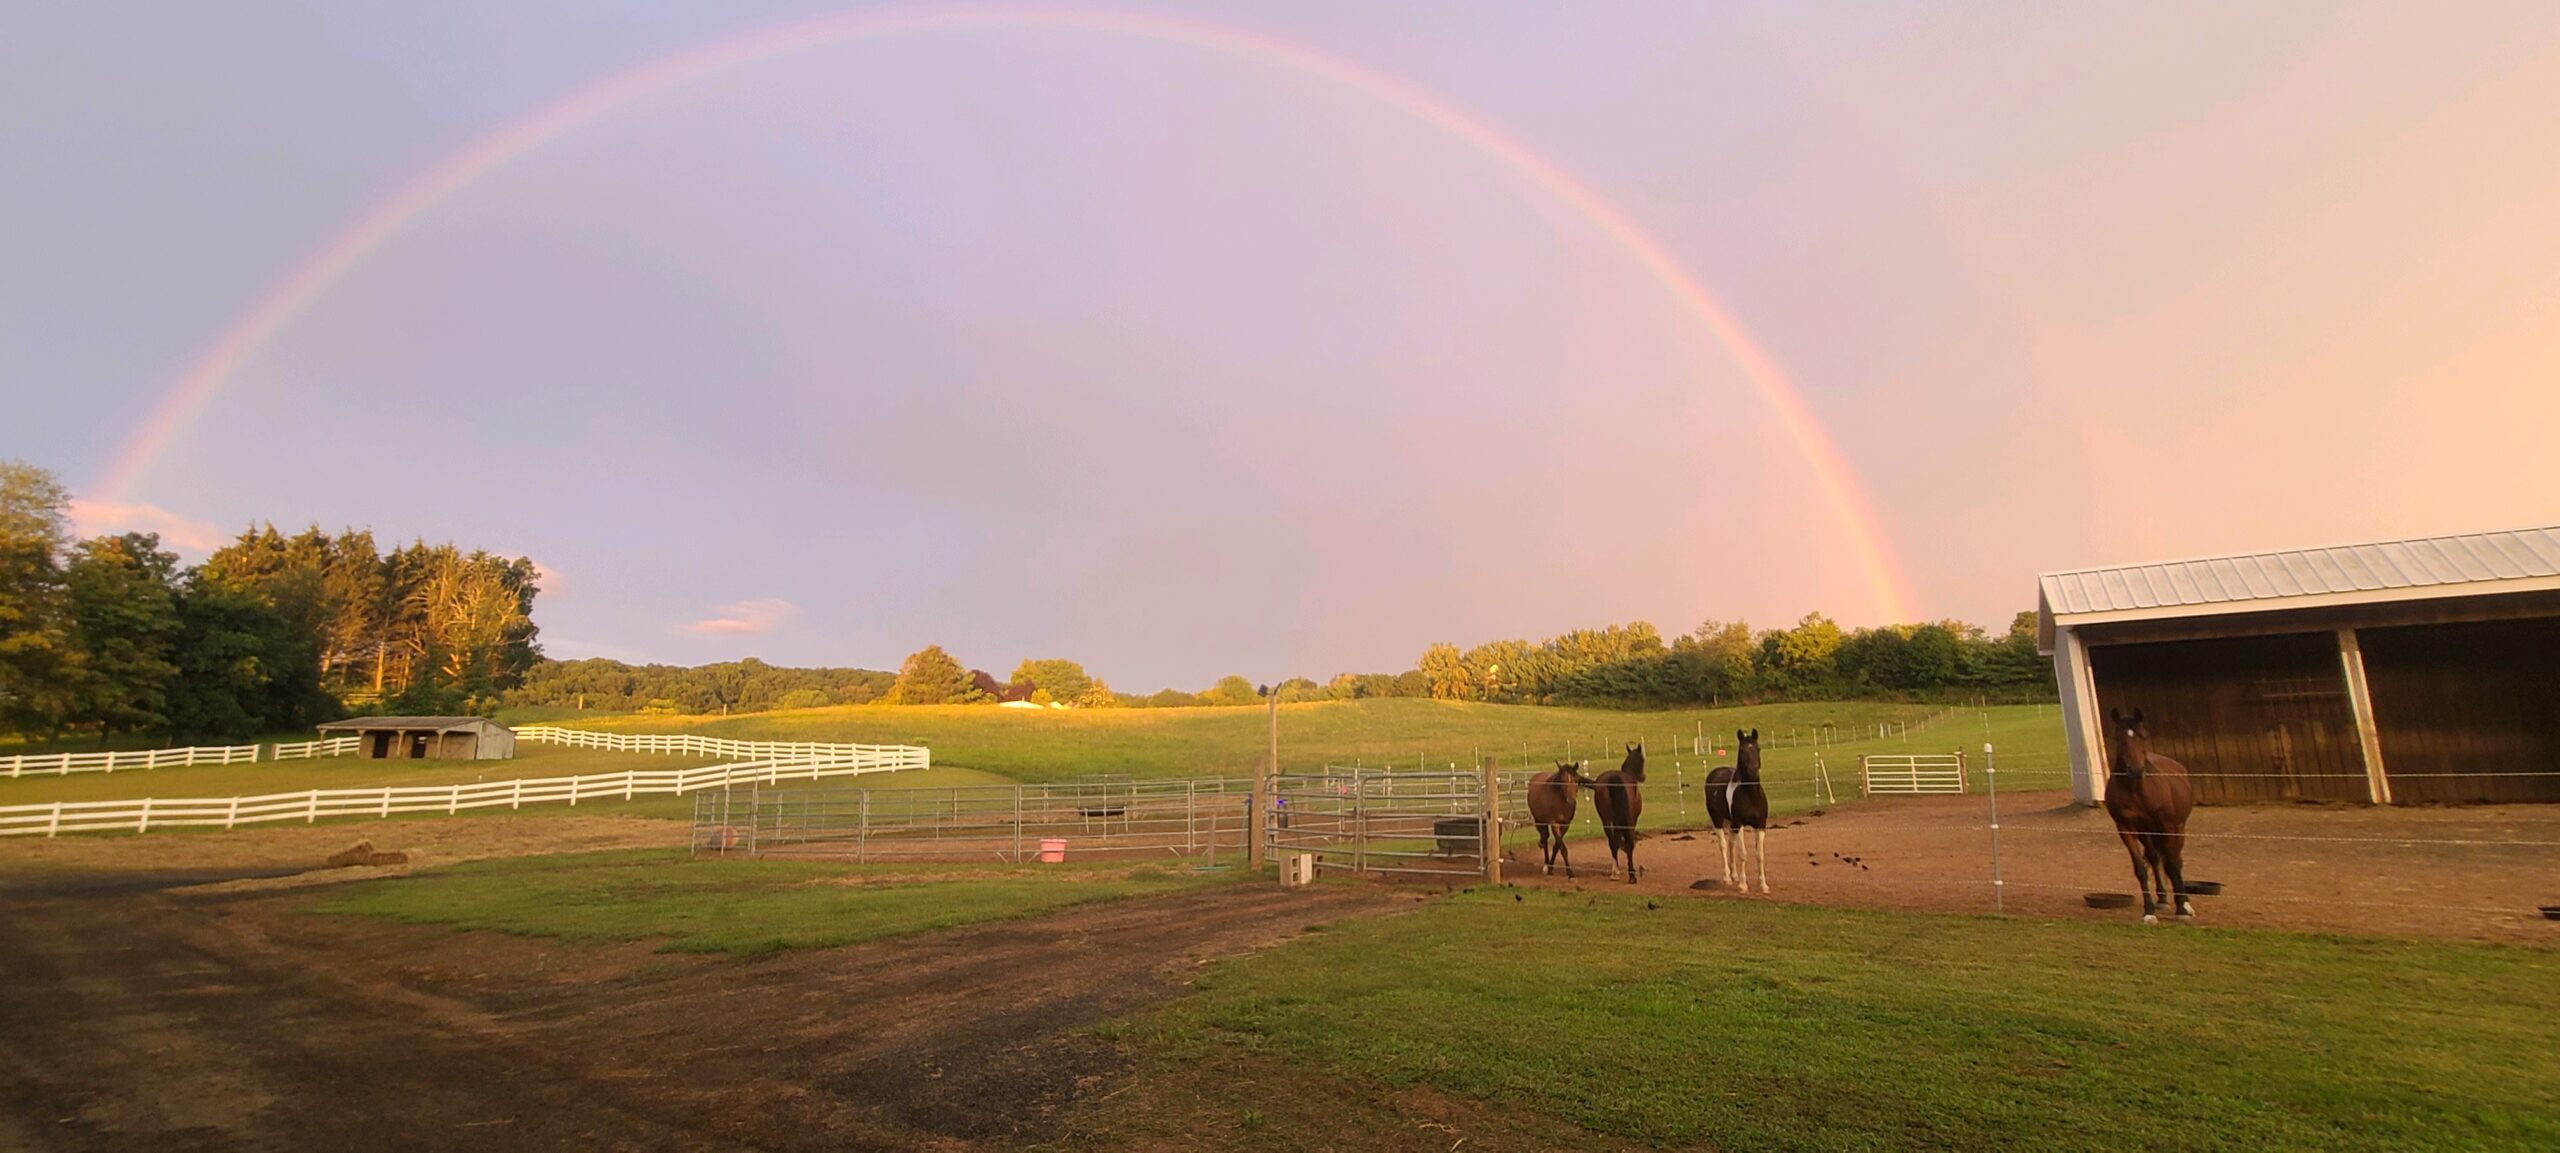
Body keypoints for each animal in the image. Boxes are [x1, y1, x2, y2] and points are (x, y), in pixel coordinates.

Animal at [1587, 743, 1648, 886]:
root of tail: (1613, 779)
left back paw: (1615, 872)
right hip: (1628, 820)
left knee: (1612, 842)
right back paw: (1631, 876)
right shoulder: (1632, 819)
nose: (1643, 777)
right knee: (1629, 841)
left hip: (1606, 820)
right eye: (1642, 760)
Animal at [1710, 727, 1771, 896]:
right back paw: (1727, 878)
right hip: (1718, 822)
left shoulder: (1760, 825)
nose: (1753, 771)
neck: (1750, 795)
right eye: (1742, 750)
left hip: (1732, 825)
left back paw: (1735, 875)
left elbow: (1760, 855)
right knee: (1724, 845)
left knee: (1731, 844)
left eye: (1758, 748)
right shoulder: (1739, 824)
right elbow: (1743, 854)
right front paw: (1743, 886)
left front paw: (1763, 885)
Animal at [2099, 707, 2201, 922]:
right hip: (2146, 832)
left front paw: (2182, 910)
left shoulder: (2168, 827)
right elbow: (2141, 868)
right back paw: (2161, 899)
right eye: (2118, 737)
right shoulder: (2126, 829)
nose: (2136, 770)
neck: (2137, 790)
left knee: (2176, 861)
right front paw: (2149, 912)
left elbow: (2172, 865)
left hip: (2178, 828)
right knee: (2154, 858)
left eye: (2142, 736)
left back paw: (2186, 903)